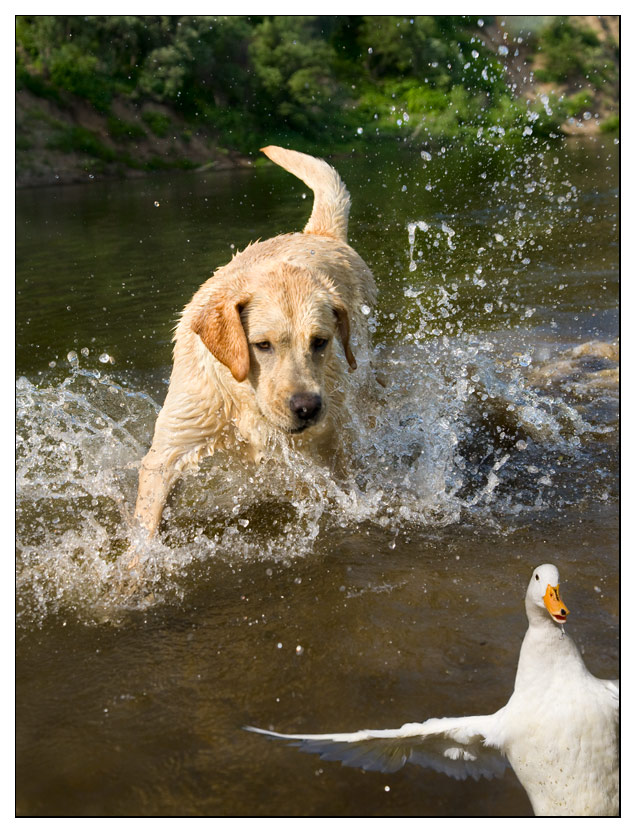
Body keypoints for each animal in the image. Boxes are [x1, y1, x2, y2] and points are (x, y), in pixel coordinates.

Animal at [132, 146, 376, 536]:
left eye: (320, 342)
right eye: (263, 345)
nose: (307, 407)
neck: (244, 400)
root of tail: (320, 234)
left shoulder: (326, 451)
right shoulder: (171, 446)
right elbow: (146, 526)